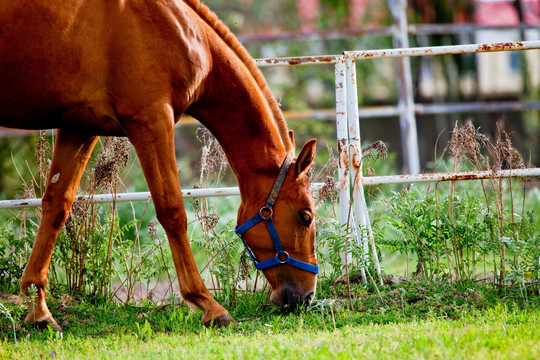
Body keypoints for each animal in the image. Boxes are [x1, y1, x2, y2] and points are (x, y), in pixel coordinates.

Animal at [0, 0, 318, 330]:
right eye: (305, 217)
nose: (307, 296)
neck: (184, 31)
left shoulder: (79, 128)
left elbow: (56, 206)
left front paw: (39, 310)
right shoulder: (151, 120)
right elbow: (172, 209)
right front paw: (209, 305)